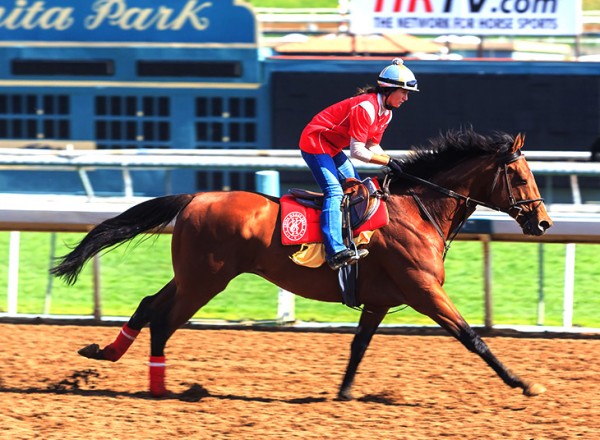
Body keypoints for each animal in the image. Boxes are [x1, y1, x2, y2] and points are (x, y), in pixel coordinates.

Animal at [51, 127, 552, 398]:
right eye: (519, 175)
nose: (543, 222)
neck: (418, 209)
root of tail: (195, 197)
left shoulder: (380, 301)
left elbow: (359, 346)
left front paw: (344, 392)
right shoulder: (424, 291)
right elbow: (472, 338)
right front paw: (523, 383)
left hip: (193, 275)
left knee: (147, 305)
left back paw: (106, 353)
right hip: (205, 281)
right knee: (163, 319)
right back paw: (158, 388)